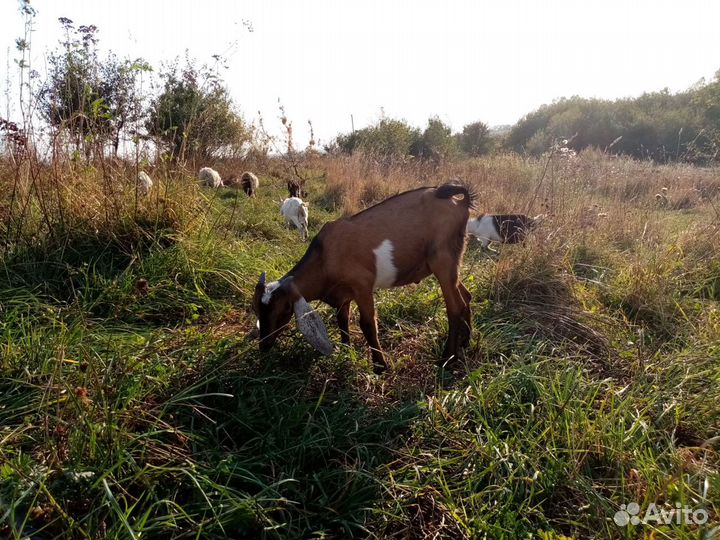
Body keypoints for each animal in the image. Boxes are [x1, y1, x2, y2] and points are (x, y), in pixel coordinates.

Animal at [250, 181, 476, 372]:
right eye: (256, 310)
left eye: (285, 309)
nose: (264, 345)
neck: (325, 257)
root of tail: (459, 201)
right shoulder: (342, 296)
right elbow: (342, 320)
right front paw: (345, 351)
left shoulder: (362, 287)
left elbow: (367, 324)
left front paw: (380, 367)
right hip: (452, 262)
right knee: (466, 297)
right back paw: (465, 343)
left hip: (443, 261)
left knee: (455, 307)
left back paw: (447, 358)